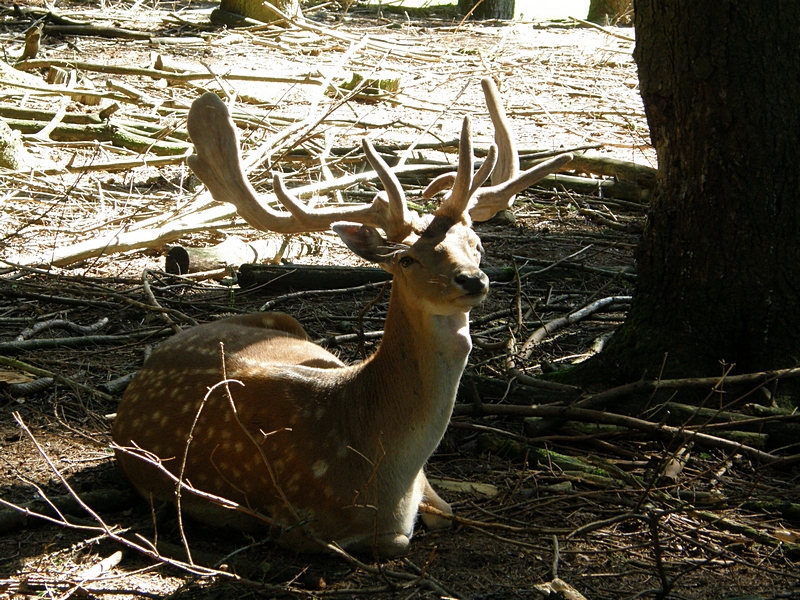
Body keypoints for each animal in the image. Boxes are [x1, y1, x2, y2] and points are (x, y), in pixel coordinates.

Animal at [114, 84, 576, 556]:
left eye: (476, 243)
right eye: (406, 259)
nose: (472, 280)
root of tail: (152, 358)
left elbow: (444, 512)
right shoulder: (296, 525)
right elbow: (397, 540)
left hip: (283, 318)